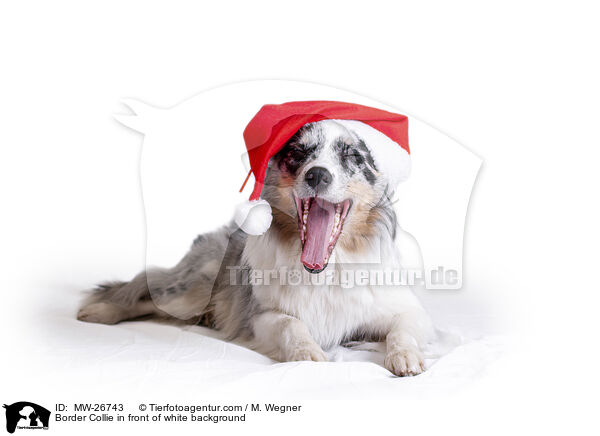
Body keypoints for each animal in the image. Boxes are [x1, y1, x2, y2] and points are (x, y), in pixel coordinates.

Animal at [77, 118, 434, 374]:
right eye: (298, 154)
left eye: (353, 156)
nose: (317, 175)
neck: (325, 271)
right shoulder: (260, 314)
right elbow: (292, 324)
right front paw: (307, 352)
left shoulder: (404, 308)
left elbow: (404, 329)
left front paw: (405, 356)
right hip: (193, 289)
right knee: (147, 295)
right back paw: (99, 310)